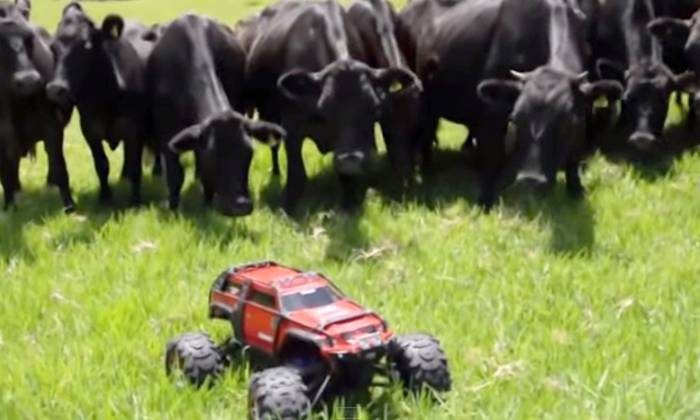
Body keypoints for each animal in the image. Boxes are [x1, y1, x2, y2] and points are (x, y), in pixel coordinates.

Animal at [0, 0, 75, 212]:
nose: (29, 81)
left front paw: (69, 206)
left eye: (30, 37)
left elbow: (60, 166)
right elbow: (5, 173)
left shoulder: (53, 126)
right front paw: (9, 207)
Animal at [46, 2, 157, 206]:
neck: (105, 95)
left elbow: (136, 167)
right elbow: (102, 165)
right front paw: (105, 196)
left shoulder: (134, 129)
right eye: (53, 47)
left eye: (87, 47)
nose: (55, 89)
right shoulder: (90, 129)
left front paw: (135, 201)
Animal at [147, 14, 285, 216]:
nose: (239, 205)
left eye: (249, 152)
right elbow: (175, 174)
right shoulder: (166, 128)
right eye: (213, 154)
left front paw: (207, 204)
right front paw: (173, 208)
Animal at [241, 0, 420, 213]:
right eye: (324, 107)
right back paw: (276, 173)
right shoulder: (292, 127)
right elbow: (296, 175)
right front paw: (288, 209)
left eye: (374, 108)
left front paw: (349, 205)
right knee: (274, 148)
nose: (351, 159)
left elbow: (345, 177)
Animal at [400, 0, 622, 208]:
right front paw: (485, 200)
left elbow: (574, 155)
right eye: (515, 120)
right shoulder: (493, 113)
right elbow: (493, 155)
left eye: (568, 124)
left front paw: (576, 191)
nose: (531, 180)